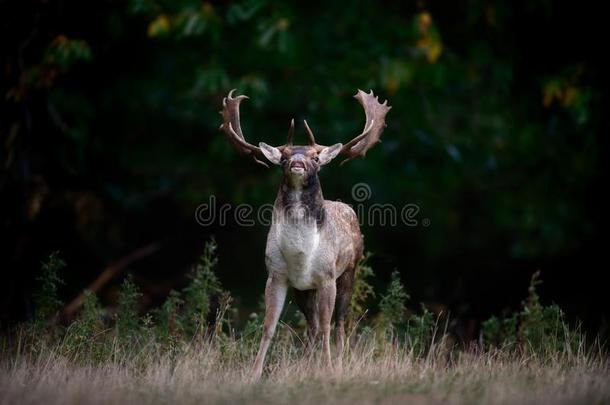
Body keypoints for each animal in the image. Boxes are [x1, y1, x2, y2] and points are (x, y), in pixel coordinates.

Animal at [218, 88, 390, 378]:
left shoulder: (327, 276)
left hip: (349, 271)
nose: (297, 163)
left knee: (339, 323)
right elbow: (269, 327)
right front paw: (254, 374)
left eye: (316, 157)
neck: (300, 254)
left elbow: (327, 328)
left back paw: (337, 364)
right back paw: (305, 365)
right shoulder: (276, 275)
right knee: (311, 327)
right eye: (284, 157)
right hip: (303, 290)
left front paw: (329, 369)